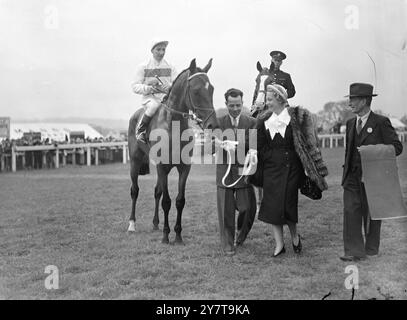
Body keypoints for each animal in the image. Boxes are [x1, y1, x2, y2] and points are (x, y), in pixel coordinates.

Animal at [128, 58, 218, 244]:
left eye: (211, 89)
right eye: (196, 91)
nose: (212, 124)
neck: (172, 126)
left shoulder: (184, 167)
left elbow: (179, 200)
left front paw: (177, 235)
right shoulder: (162, 167)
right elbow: (167, 201)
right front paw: (165, 236)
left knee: (157, 192)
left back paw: (155, 224)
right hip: (135, 161)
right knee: (135, 190)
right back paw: (132, 224)